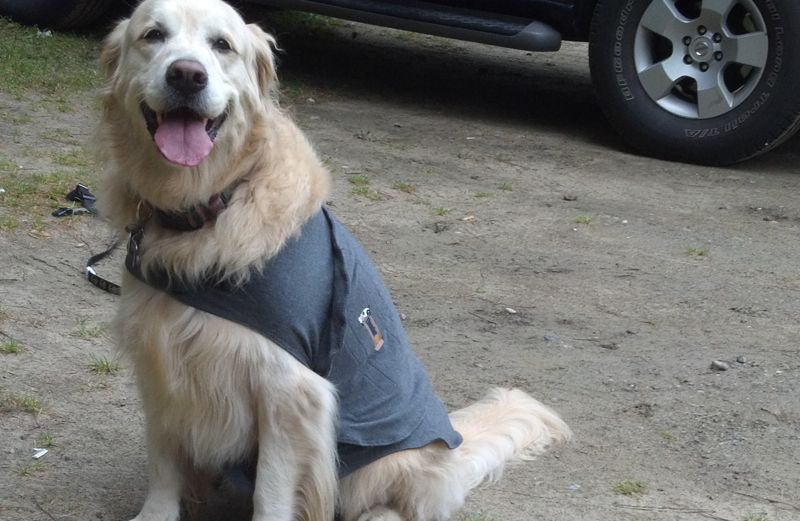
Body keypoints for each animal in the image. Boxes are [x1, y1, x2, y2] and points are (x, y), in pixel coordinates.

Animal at [100, 1, 572, 520]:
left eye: (222, 45)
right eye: (153, 35)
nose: (187, 75)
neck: (206, 209)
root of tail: (452, 443)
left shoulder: (288, 391)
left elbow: (271, 493)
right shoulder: (158, 360)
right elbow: (164, 465)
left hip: (389, 463)